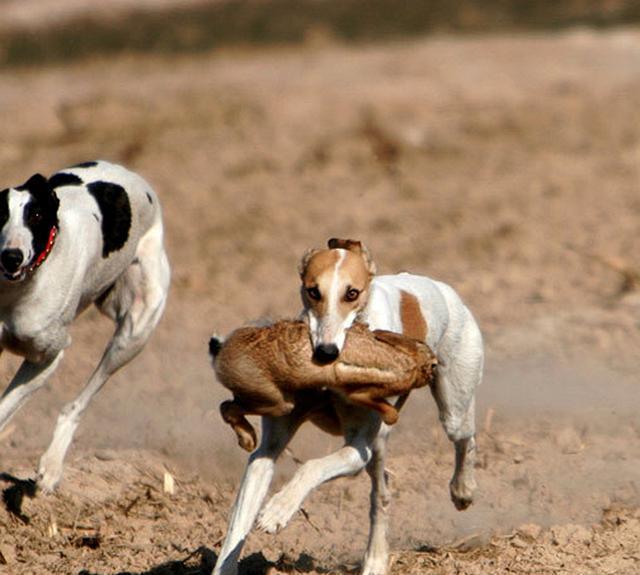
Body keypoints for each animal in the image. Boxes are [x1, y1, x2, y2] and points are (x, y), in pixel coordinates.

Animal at [0, 160, 170, 492]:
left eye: (35, 216)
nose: (11, 257)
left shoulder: (47, 358)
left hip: (133, 334)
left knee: (77, 404)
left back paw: (52, 466)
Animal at [212, 238, 482, 575]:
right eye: (313, 291)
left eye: (351, 293)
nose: (326, 353)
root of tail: (444, 289)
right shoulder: (268, 450)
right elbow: (239, 520)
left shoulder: (357, 450)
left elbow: (312, 466)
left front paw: (278, 510)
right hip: (379, 443)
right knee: (383, 490)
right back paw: (376, 559)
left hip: (451, 408)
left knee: (464, 438)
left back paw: (462, 490)